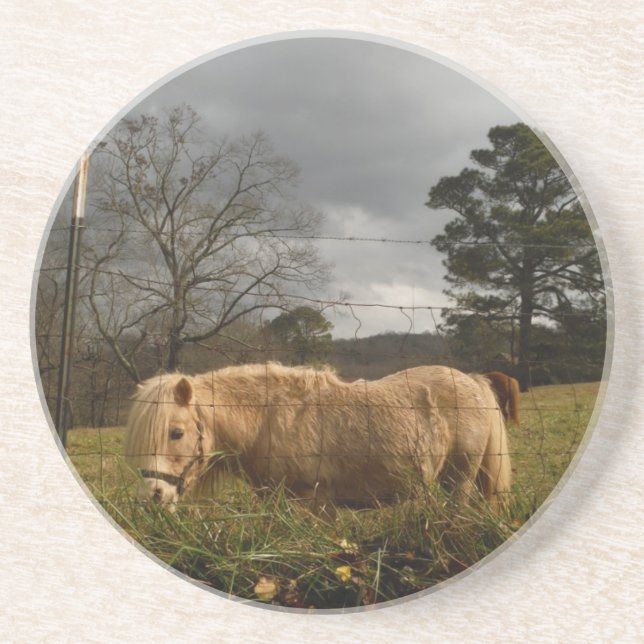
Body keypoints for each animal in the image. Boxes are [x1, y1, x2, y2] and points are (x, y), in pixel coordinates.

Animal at [123, 363, 512, 514]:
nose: (152, 498)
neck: (267, 419)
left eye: (176, 433)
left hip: (459, 481)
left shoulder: (314, 503)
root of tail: (473, 380)